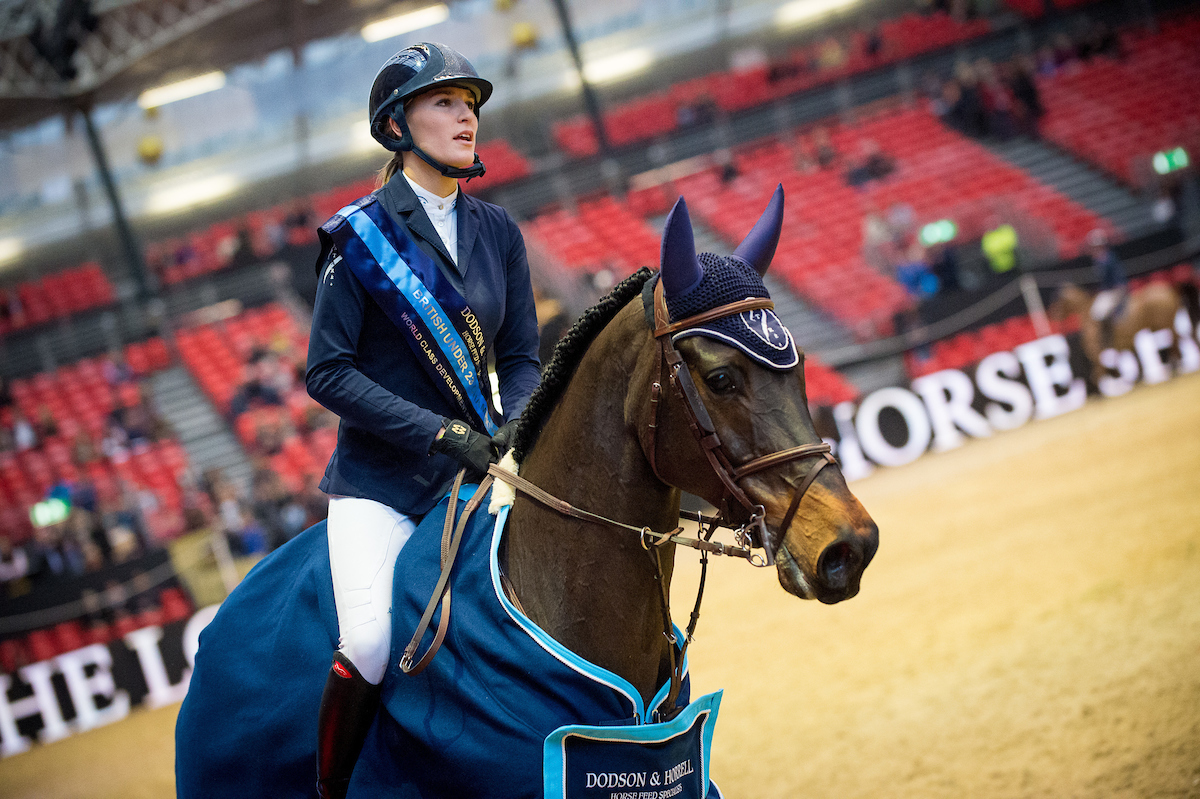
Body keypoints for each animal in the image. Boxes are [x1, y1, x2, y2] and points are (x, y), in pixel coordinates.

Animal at [1050, 281, 1183, 384]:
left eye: (1059, 300)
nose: (1053, 315)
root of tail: (1168, 291)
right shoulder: (1124, 342)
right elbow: (1132, 358)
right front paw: (1135, 378)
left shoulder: (1096, 349)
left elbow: (1098, 371)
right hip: (1160, 326)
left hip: (1166, 324)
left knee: (1175, 340)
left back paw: (1175, 365)